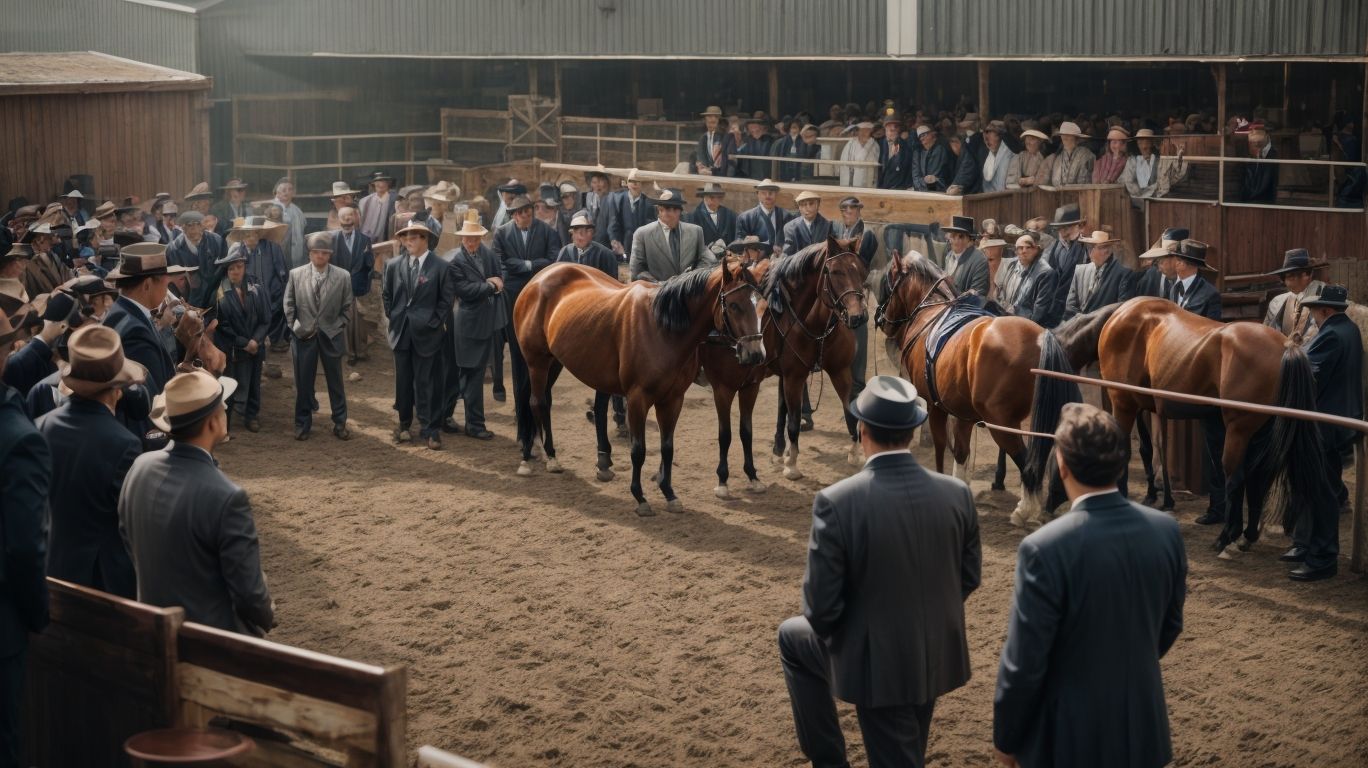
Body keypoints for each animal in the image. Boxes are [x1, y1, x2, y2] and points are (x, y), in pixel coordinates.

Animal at [513, 258, 765, 516]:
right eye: (734, 305)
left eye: (761, 302)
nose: (755, 354)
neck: (663, 328)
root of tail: (539, 278)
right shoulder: (637, 398)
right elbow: (638, 450)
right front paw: (640, 497)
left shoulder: (673, 399)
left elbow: (667, 447)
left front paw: (669, 493)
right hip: (536, 361)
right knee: (537, 403)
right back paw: (538, 457)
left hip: (554, 361)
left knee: (545, 402)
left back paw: (544, 451)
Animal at [698, 236, 869, 496]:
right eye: (835, 271)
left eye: (861, 271)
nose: (858, 316)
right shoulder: (794, 377)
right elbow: (793, 420)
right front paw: (792, 466)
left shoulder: (839, 371)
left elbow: (849, 410)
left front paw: (855, 453)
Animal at [874, 253, 1081, 521]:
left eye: (888, 282)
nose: (880, 319)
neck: (930, 312)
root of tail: (1040, 337)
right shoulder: (964, 415)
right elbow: (961, 453)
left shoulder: (935, 406)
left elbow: (941, 447)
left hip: (1001, 423)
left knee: (1027, 463)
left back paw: (1025, 510)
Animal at [1060, 297, 1324, 552]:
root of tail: (1286, 347)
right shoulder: (1145, 407)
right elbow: (1149, 449)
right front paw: (1157, 496)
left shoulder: (1123, 403)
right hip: (1261, 434)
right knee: (1257, 477)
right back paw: (1247, 535)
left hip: (1238, 430)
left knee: (1235, 477)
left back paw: (1226, 535)